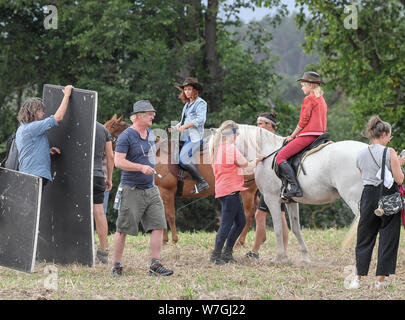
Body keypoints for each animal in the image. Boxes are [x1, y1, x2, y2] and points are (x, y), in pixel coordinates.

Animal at [104, 115, 256, 245]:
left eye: (108, 132)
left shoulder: (167, 191)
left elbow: (170, 215)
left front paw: (174, 239)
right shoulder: (160, 193)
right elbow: (162, 215)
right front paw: (164, 239)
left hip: (247, 191)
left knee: (248, 215)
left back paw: (240, 241)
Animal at [234, 124, 362, 264]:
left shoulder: (270, 198)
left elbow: (278, 228)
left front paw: (278, 257)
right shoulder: (290, 201)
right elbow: (295, 228)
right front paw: (304, 257)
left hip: (354, 199)